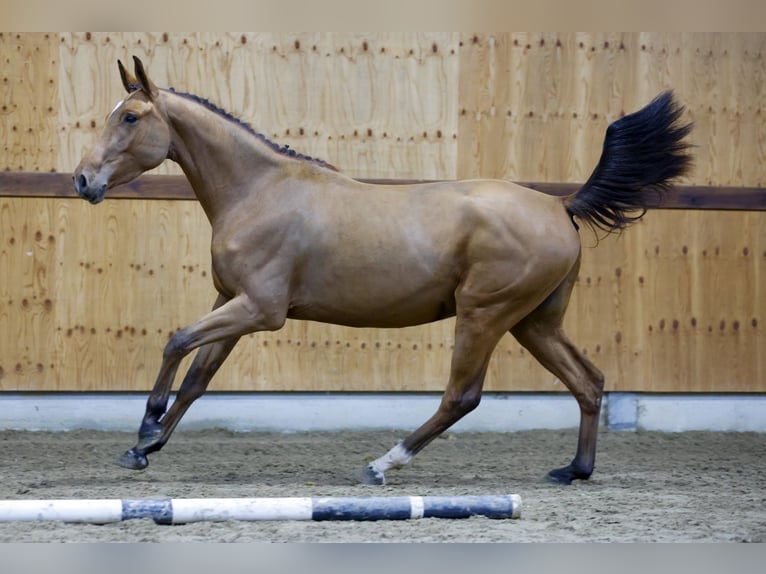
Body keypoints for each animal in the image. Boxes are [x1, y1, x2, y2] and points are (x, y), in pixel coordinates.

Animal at [73, 57, 696, 486]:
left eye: (130, 117)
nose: (82, 180)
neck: (259, 191)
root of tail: (560, 206)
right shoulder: (231, 303)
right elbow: (198, 378)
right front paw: (145, 448)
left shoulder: (259, 310)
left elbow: (176, 343)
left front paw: (146, 427)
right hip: (535, 322)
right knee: (588, 381)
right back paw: (574, 470)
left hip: (485, 315)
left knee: (462, 396)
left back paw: (382, 464)